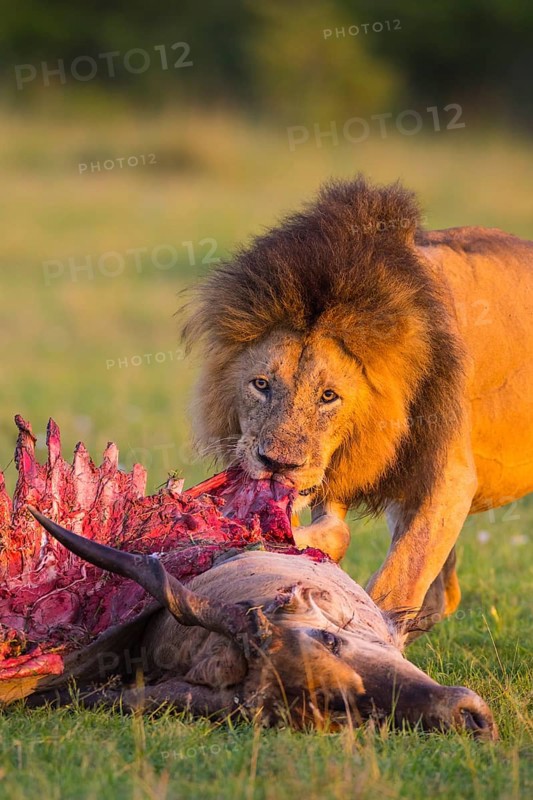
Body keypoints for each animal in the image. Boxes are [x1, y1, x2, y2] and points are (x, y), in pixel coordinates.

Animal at [180, 176, 533, 626]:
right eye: (260, 384)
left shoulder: (449, 479)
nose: (278, 464)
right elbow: (336, 533)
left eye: (329, 396)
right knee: (444, 595)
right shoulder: (337, 469)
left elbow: (397, 582)